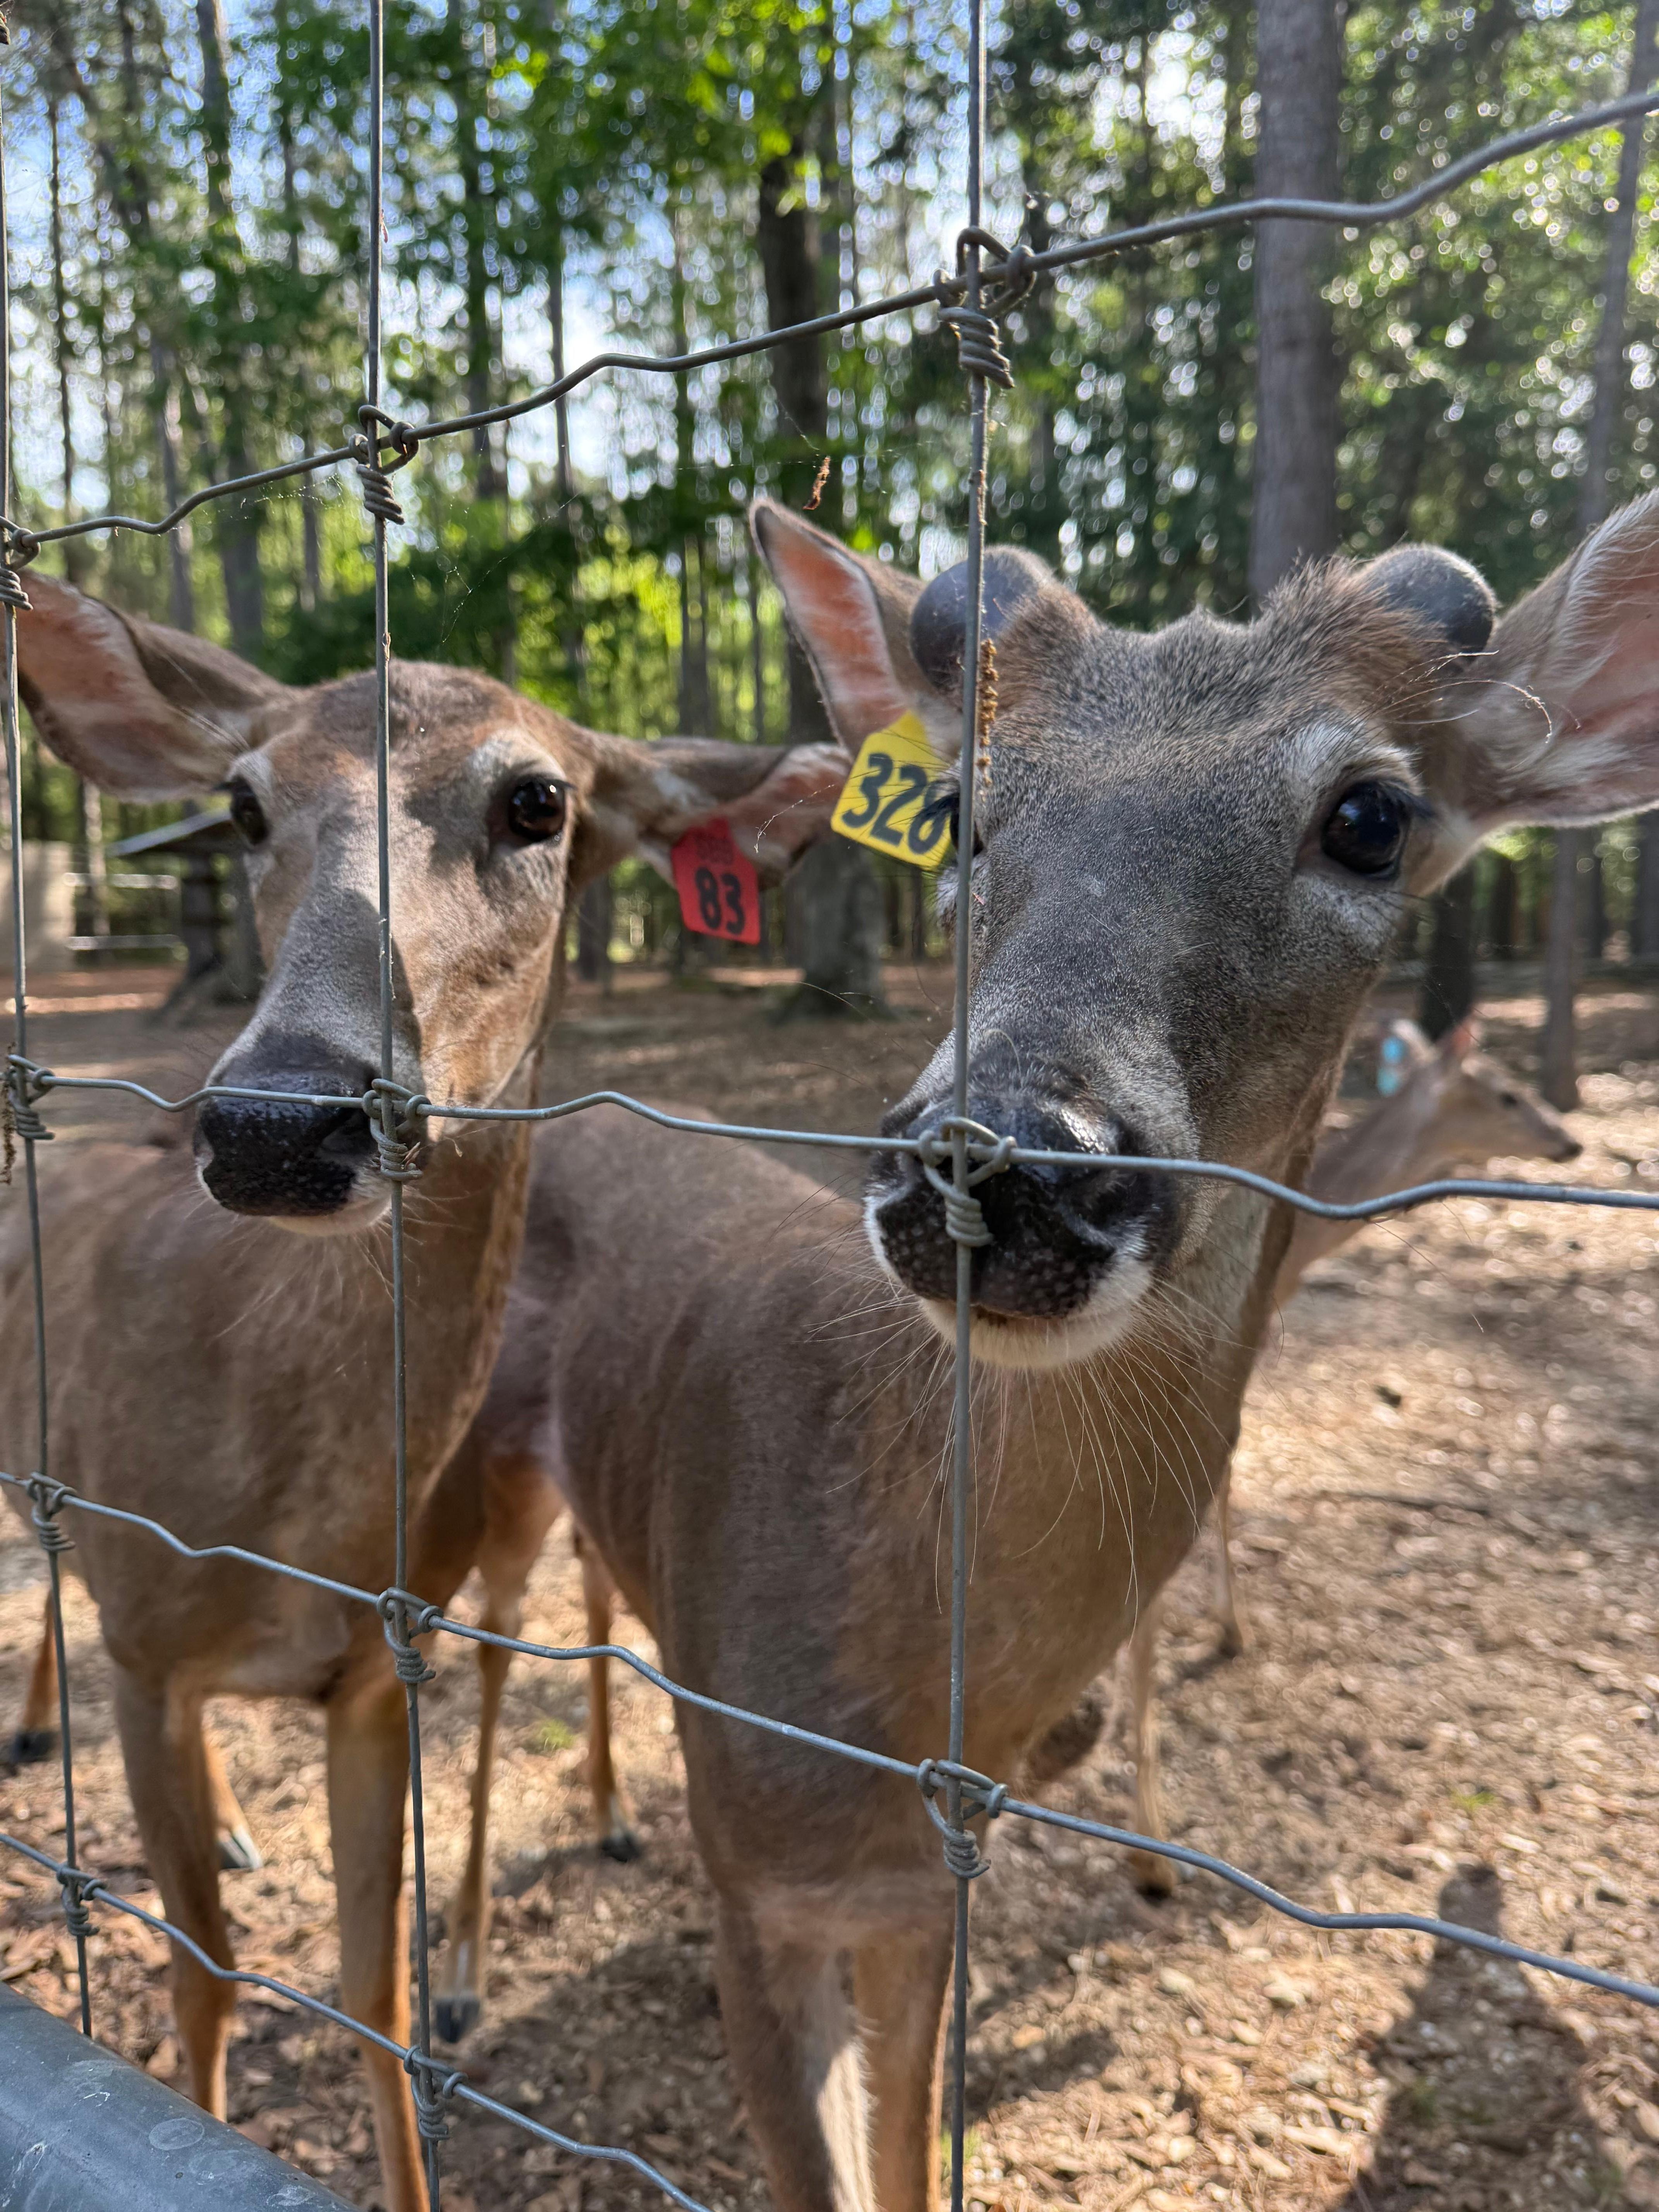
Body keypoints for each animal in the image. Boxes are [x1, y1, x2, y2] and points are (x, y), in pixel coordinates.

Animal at [0, 572, 846, 2212]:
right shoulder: (146, 1643)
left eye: (537, 800)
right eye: (243, 802)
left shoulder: (378, 1669)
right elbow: (202, 1976)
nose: (279, 1121)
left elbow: (372, 1990)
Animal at [391, 490, 1659, 2212]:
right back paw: (449, 1976)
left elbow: (908, 2155)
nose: (994, 1158)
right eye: (956, 810)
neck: (901, 1722)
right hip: (482, 1452)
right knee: (463, 1642)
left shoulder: (928, 1895)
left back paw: (595, 1822)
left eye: (1371, 815)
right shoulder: (756, 1884)